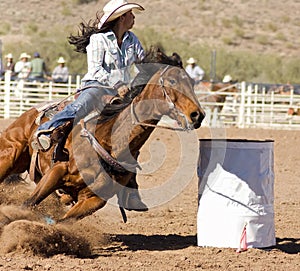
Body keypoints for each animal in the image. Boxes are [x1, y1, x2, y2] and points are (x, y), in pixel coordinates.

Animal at [0, 50, 205, 221]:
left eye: (192, 83)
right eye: (172, 81)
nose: (198, 115)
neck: (107, 142)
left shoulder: (93, 200)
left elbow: (62, 222)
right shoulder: (56, 172)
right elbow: (28, 204)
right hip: (9, 157)